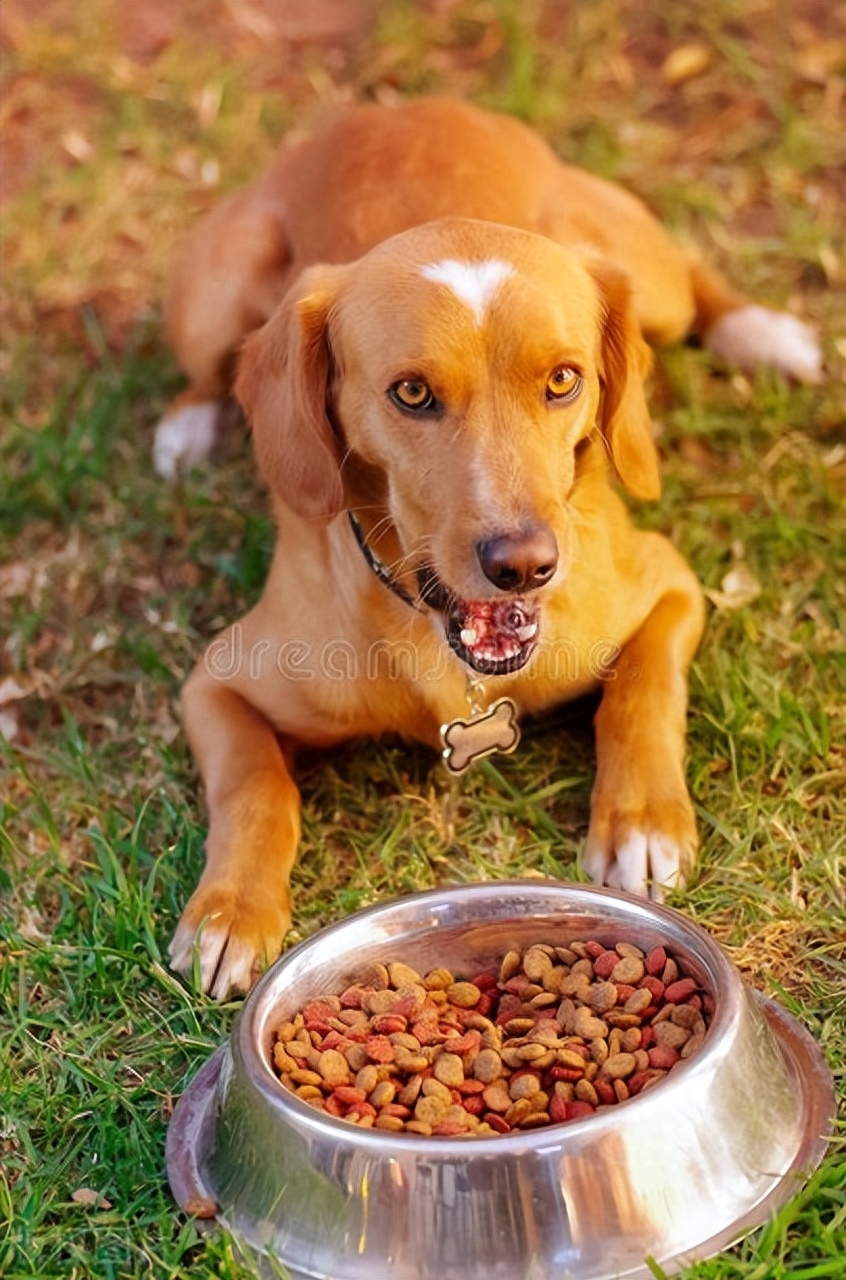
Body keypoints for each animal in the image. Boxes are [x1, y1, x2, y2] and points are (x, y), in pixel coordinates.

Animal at [156, 102, 819, 998]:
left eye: (564, 379)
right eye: (411, 392)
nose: (526, 566)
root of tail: (400, 107)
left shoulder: (669, 585)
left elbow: (642, 692)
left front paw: (639, 820)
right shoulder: (217, 683)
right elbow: (255, 784)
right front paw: (231, 908)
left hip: (647, 279)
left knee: (692, 281)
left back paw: (765, 333)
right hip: (213, 296)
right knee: (210, 369)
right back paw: (188, 425)